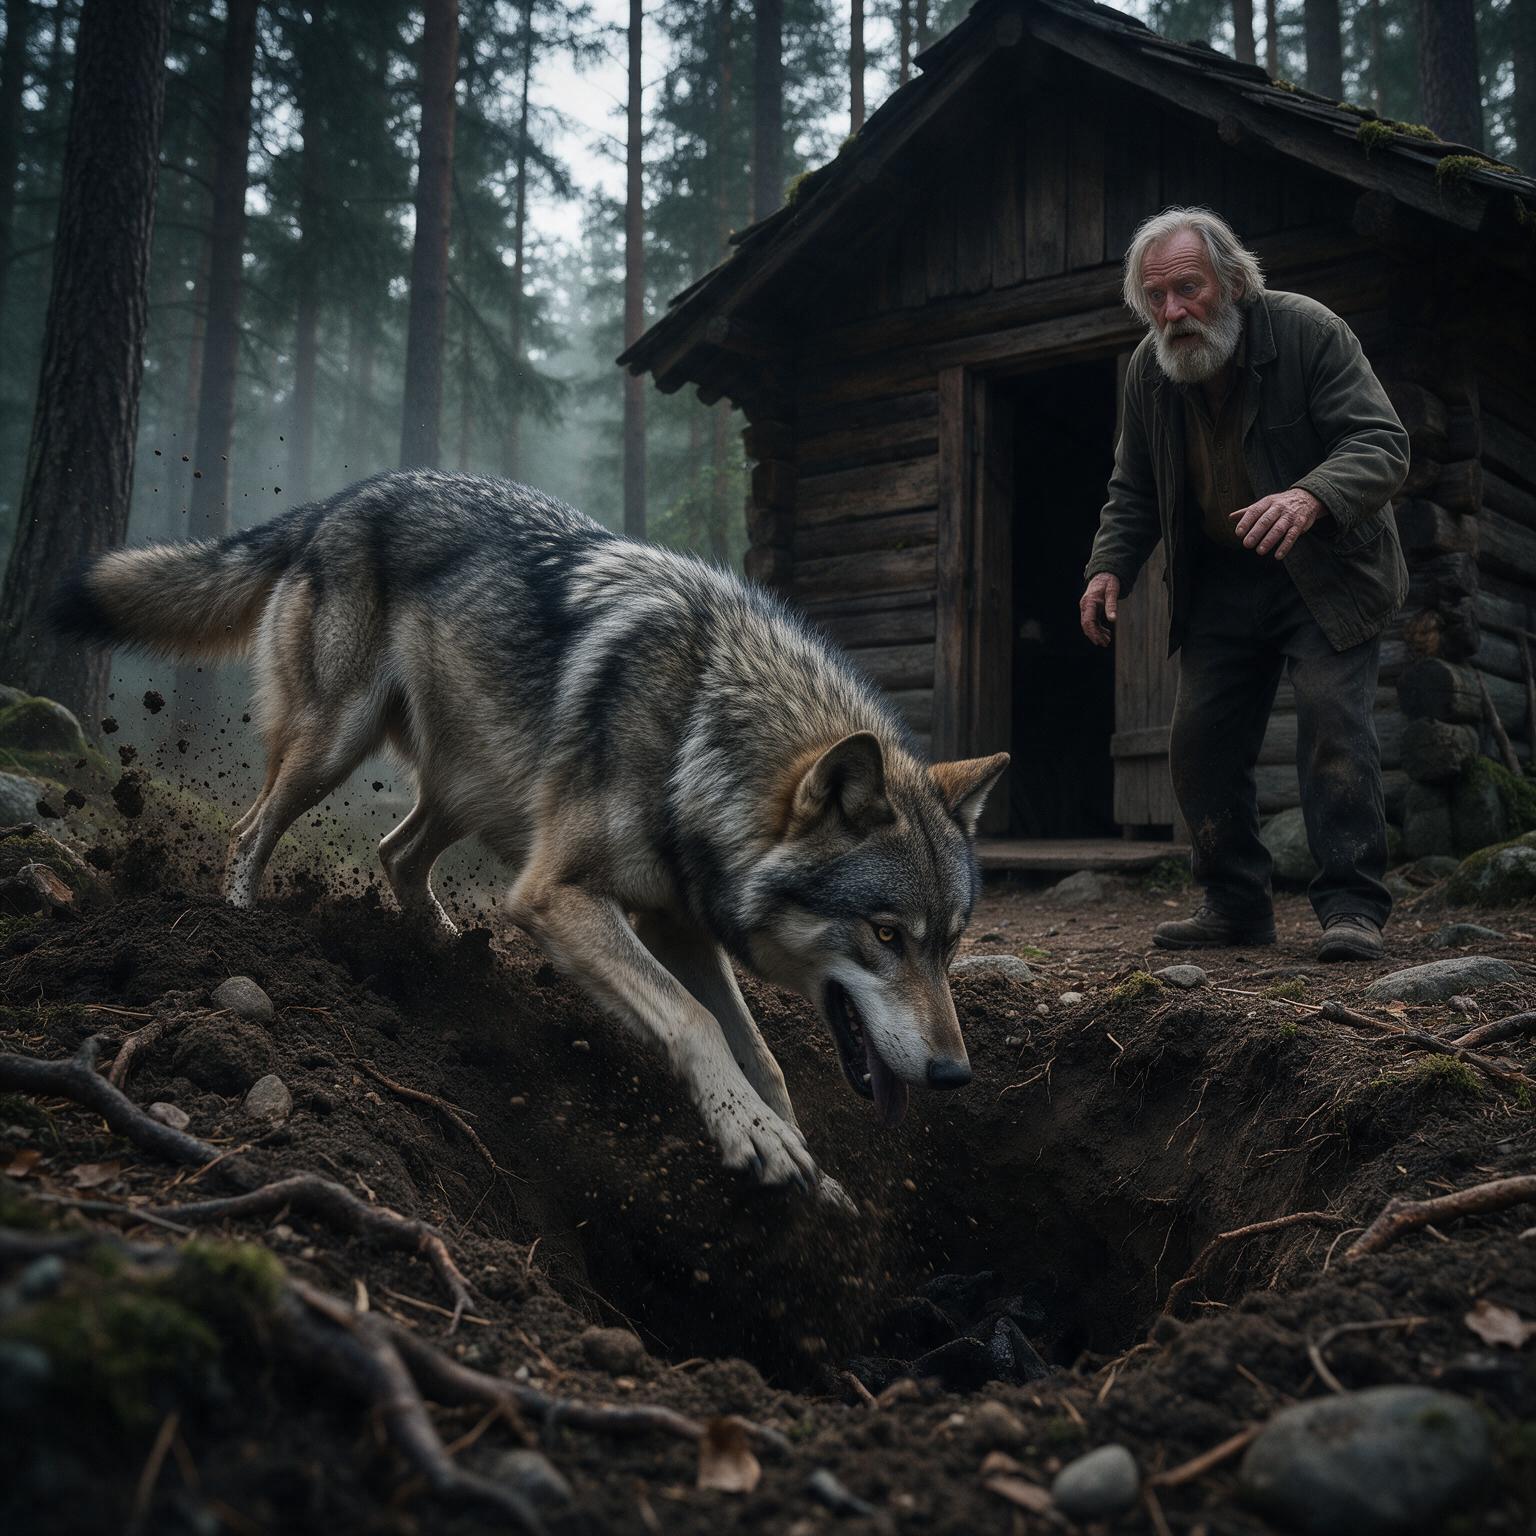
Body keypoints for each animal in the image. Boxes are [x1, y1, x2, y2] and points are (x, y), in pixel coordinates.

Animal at [56, 471, 1007, 1205]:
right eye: (885, 936)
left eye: (950, 946)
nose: (955, 1077)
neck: (700, 730)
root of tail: (343, 497)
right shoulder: (559, 893)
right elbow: (693, 1018)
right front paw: (756, 1137)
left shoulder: (679, 924)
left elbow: (763, 1056)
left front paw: (810, 1165)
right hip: (336, 749)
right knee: (252, 829)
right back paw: (245, 927)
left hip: (478, 785)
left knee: (396, 853)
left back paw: (447, 953)